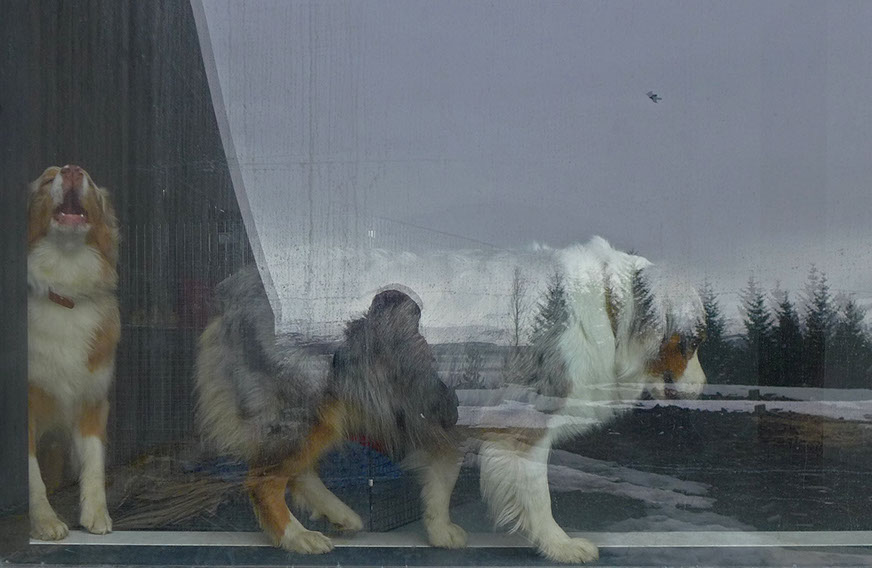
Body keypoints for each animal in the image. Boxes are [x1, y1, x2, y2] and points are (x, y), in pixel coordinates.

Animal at [194, 267, 466, 553]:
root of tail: (234, 286)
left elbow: (445, 474)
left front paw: (440, 530)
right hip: (309, 409)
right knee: (264, 480)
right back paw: (298, 536)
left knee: (297, 471)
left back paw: (339, 515)